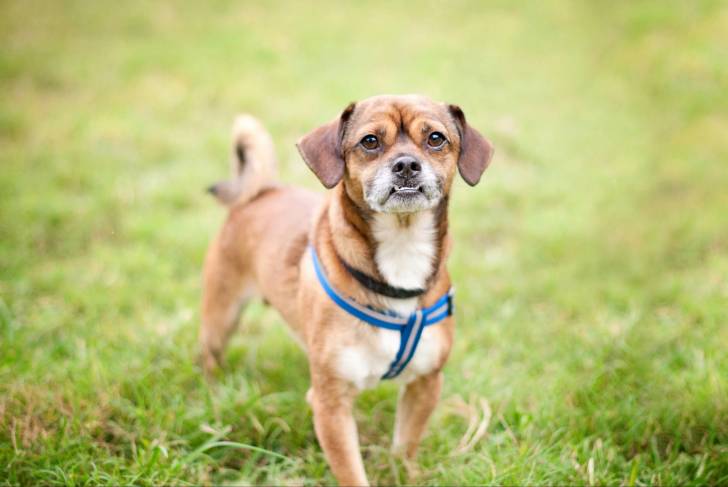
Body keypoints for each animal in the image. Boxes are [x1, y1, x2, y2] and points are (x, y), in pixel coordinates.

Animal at [199, 93, 494, 486]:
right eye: (370, 141)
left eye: (435, 138)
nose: (406, 165)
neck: (401, 248)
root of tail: (261, 192)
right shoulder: (331, 404)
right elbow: (352, 472)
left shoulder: (425, 384)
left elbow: (405, 446)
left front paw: (403, 473)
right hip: (221, 316)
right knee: (209, 357)